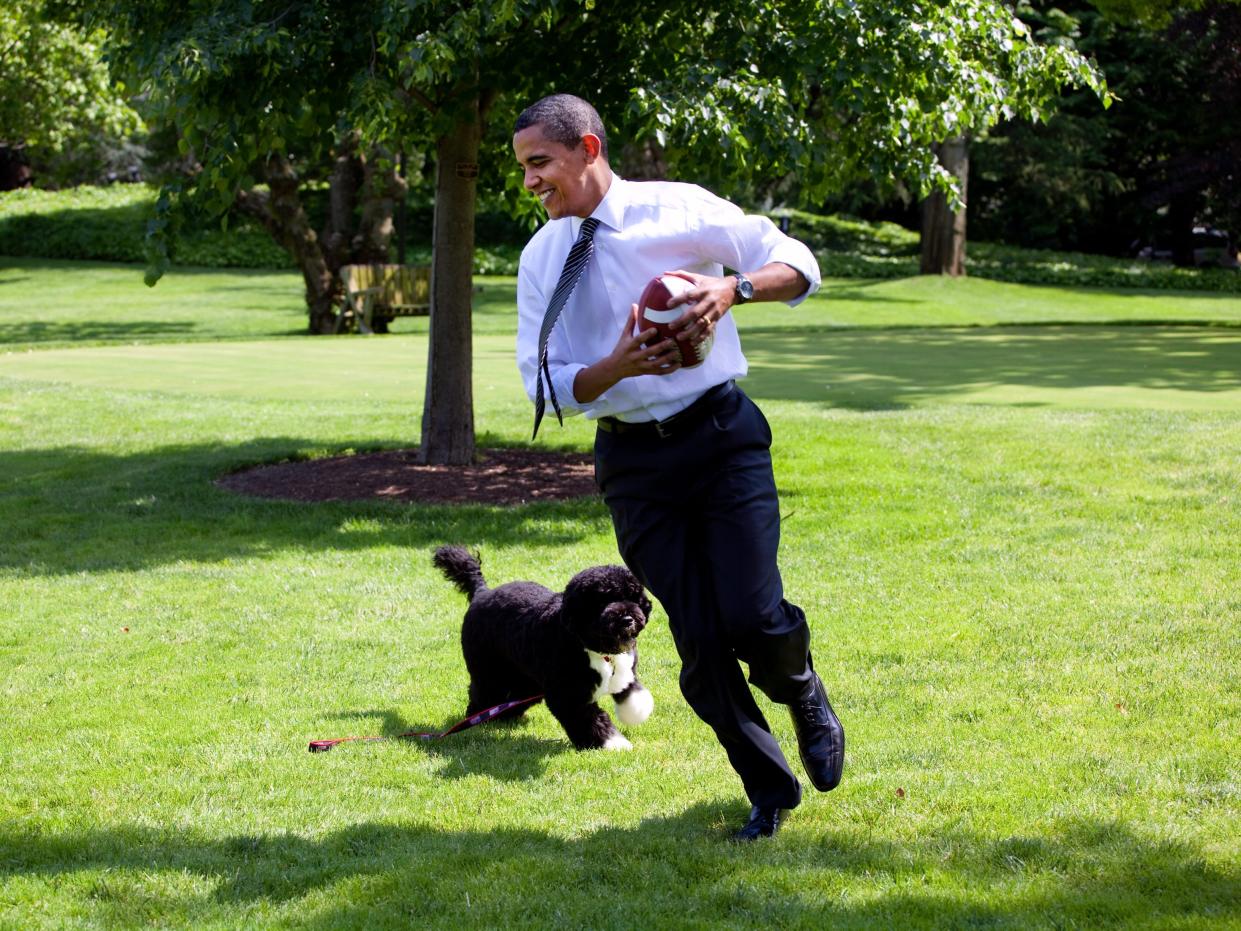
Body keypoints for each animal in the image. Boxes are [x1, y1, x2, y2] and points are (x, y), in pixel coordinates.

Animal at [431, 546, 655, 749]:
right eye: (601, 601)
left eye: (632, 597)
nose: (627, 619)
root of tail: (482, 592)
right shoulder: (567, 694)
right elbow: (591, 720)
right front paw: (612, 743)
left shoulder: (626, 670)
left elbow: (631, 693)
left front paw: (637, 711)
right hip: (488, 670)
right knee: (483, 693)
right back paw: (478, 718)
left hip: (525, 678)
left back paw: (507, 715)